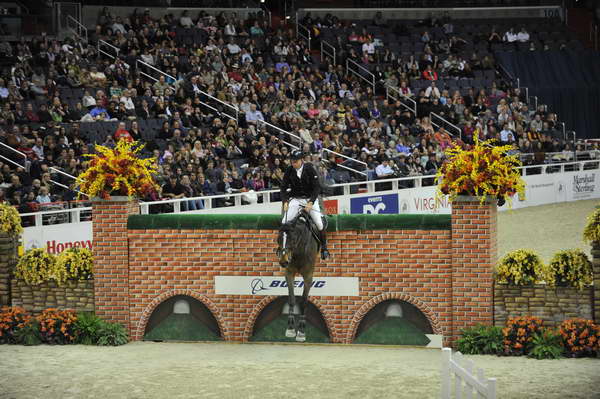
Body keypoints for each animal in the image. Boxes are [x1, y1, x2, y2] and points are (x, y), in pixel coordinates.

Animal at [276, 209, 322, 344]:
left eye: (292, 239)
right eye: (278, 239)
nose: (283, 262)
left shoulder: (308, 276)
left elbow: (304, 301)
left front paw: (301, 331)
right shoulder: (289, 273)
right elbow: (292, 298)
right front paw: (290, 328)